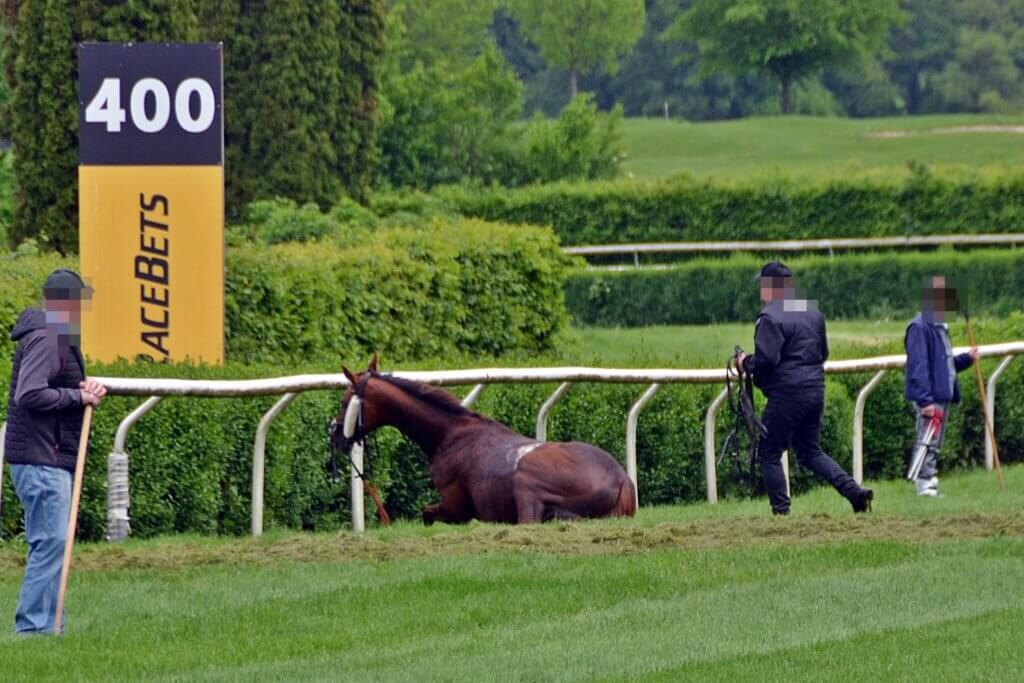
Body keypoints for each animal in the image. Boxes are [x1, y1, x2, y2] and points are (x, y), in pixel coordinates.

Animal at [327, 358, 634, 524]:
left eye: (344, 402)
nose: (334, 434)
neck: (449, 435)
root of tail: (622, 480)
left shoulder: (456, 506)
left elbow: (427, 513)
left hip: (526, 484)